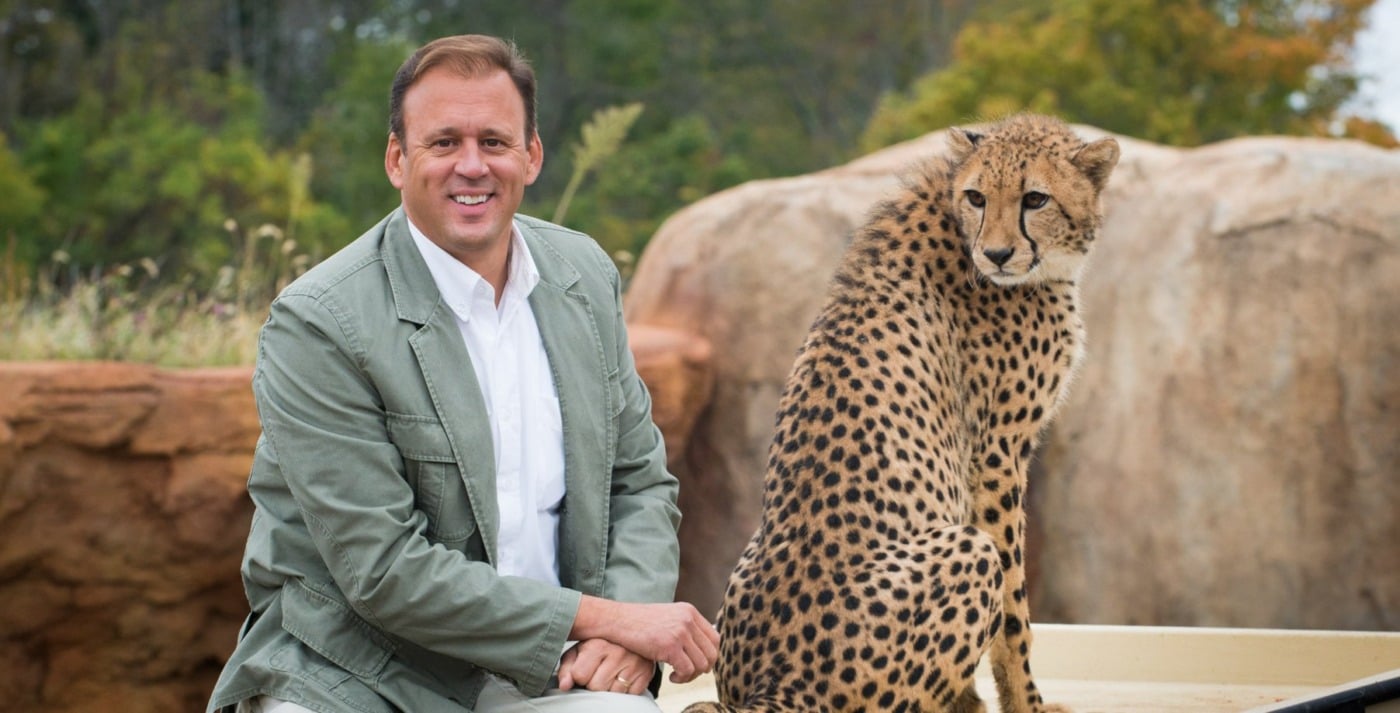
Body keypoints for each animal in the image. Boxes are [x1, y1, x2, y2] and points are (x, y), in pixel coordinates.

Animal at [682, 114, 1119, 713]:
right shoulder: (997, 459)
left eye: (1035, 198)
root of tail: (771, 686)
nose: (997, 255)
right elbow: (1015, 614)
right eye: (978, 196)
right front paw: (1026, 703)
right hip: (968, 550)